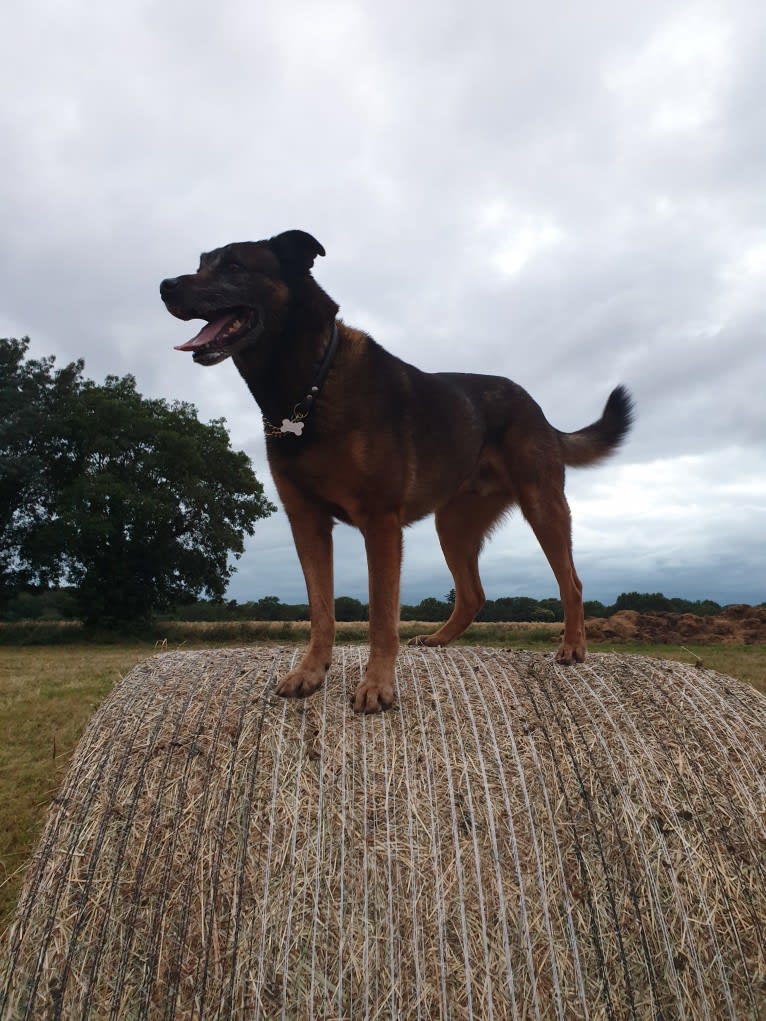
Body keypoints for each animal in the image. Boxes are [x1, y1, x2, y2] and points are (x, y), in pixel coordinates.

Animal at [159, 228, 633, 714]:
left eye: (234, 266)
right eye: (201, 264)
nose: (165, 287)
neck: (309, 385)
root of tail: (538, 410)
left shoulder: (380, 522)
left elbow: (381, 617)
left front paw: (377, 685)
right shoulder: (307, 522)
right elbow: (321, 611)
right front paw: (311, 672)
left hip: (543, 506)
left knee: (572, 582)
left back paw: (573, 647)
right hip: (453, 525)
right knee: (473, 593)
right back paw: (440, 640)